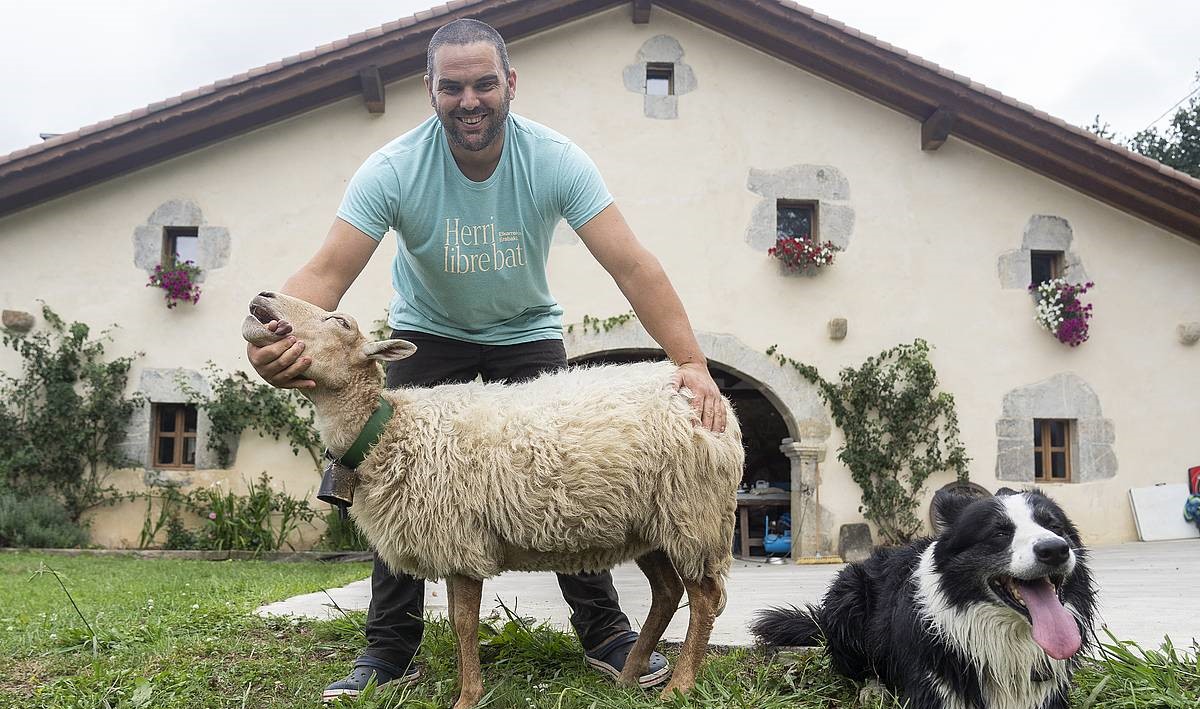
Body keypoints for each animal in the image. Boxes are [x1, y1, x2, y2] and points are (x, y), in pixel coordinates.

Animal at [240, 291, 744, 705]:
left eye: (341, 322)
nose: (263, 296)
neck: (387, 430)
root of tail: (714, 401)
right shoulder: (449, 539)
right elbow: (458, 619)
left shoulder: (458, 538)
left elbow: (464, 623)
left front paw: (468, 697)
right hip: (647, 522)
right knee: (667, 592)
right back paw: (629, 676)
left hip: (692, 513)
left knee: (703, 598)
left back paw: (680, 686)